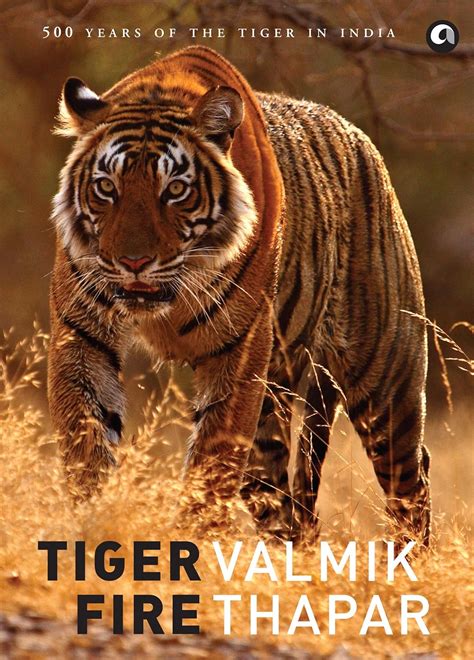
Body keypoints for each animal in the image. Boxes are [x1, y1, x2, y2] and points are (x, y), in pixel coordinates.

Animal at [48, 45, 431, 545]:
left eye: (175, 190)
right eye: (106, 188)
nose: (133, 262)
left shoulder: (240, 350)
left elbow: (211, 466)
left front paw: (189, 542)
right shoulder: (82, 335)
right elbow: (87, 442)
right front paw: (95, 525)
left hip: (384, 378)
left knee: (411, 482)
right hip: (272, 418)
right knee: (293, 511)